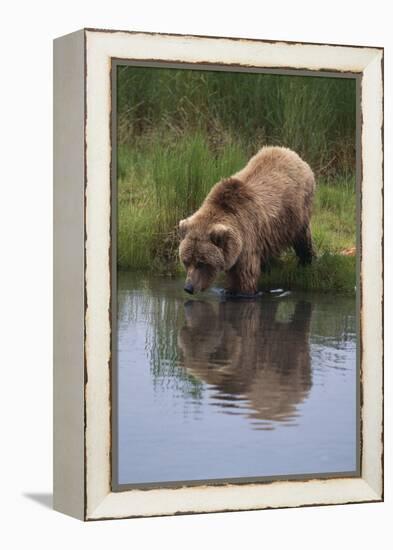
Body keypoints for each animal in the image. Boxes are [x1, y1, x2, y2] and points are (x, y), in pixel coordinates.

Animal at [179, 144, 314, 296]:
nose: (188, 288)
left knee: (302, 237)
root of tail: (289, 151)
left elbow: (244, 278)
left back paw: (306, 262)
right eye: (186, 261)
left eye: (201, 263)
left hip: (297, 211)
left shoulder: (247, 239)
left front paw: (237, 291)